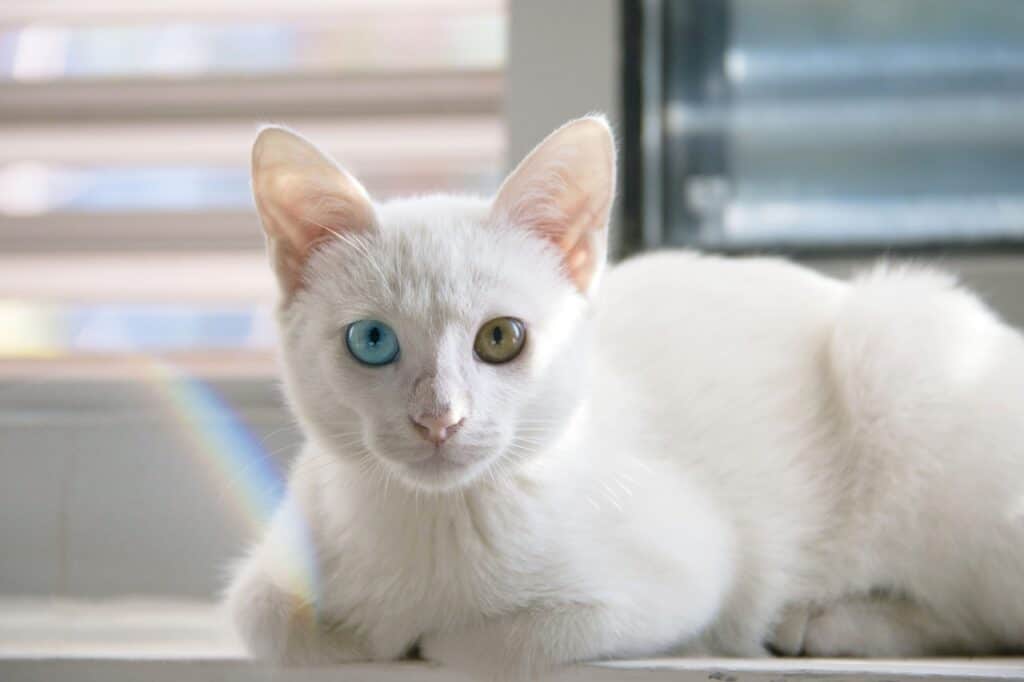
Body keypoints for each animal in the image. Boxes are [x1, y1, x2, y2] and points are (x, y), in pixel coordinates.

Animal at [226, 114, 1024, 671]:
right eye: (372, 341)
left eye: (500, 338)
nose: (439, 418)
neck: (435, 523)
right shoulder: (275, 565)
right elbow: (270, 620)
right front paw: (364, 634)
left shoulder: (687, 574)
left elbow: (497, 644)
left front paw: (427, 639)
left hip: (896, 351)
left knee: (980, 618)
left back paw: (824, 621)